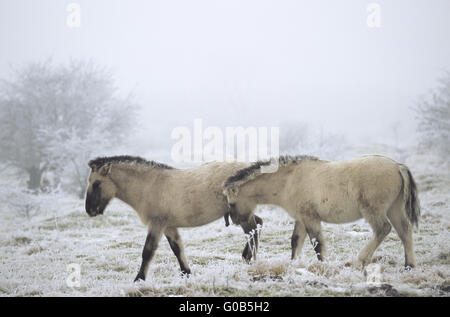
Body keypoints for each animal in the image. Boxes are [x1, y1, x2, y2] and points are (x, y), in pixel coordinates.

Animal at [85, 154, 262, 280]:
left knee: (252, 230)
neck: (149, 186)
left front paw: (139, 279)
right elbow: (177, 249)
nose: (89, 210)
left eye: (96, 184)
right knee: (258, 224)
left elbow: (147, 251)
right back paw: (246, 257)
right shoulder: (168, 226)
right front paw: (186, 274)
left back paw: (249, 259)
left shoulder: (156, 224)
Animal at [223, 154, 420, 268]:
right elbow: (296, 241)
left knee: (383, 229)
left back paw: (360, 261)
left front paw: (323, 265)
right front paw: (294, 264)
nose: (236, 222)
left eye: (231, 203)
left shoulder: (311, 218)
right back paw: (409, 265)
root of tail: (397, 166)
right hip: (394, 209)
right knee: (405, 231)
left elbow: (317, 243)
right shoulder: (301, 218)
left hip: (374, 210)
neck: (289, 181)